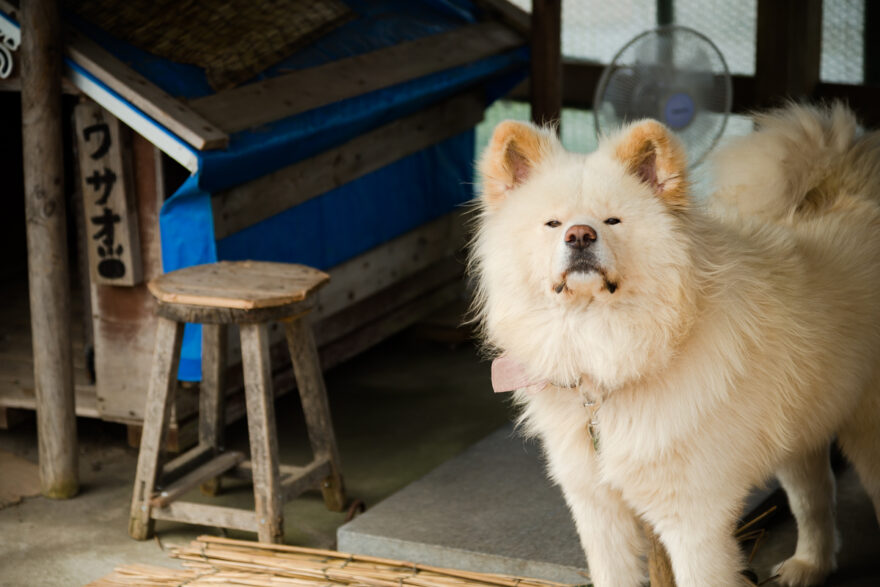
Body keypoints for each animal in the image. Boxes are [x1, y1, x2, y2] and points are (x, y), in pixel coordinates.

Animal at [470, 105, 880, 587]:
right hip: (801, 431)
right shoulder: (599, 513)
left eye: (612, 221)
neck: (606, 354)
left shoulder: (693, 520)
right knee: (815, 497)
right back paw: (807, 566)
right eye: (552, 224)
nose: (579, 235)